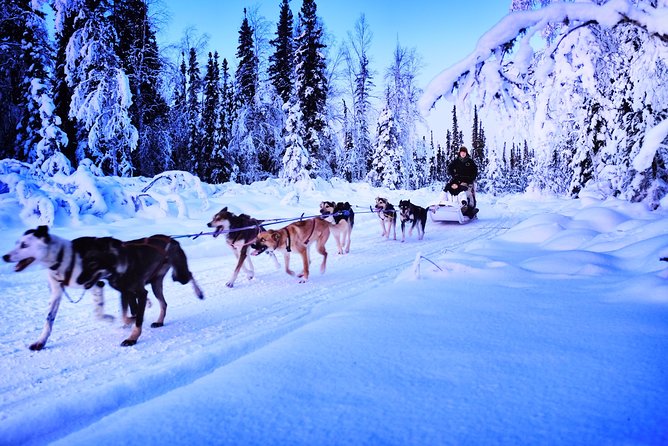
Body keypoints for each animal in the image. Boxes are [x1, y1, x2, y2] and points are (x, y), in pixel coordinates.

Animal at [2, 226, 202, 348]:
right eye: (82, 260)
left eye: (24, 245)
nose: (5, 256)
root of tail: (171, 239)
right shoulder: (126, 293)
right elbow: (127, 315)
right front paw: (129, 322)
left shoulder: (139, 292)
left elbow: (136, 319)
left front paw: (132, 337)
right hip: (155, 283)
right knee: (164, 303)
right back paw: (159, 320)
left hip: (179, 276)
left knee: (190, 275)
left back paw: (199, 293)